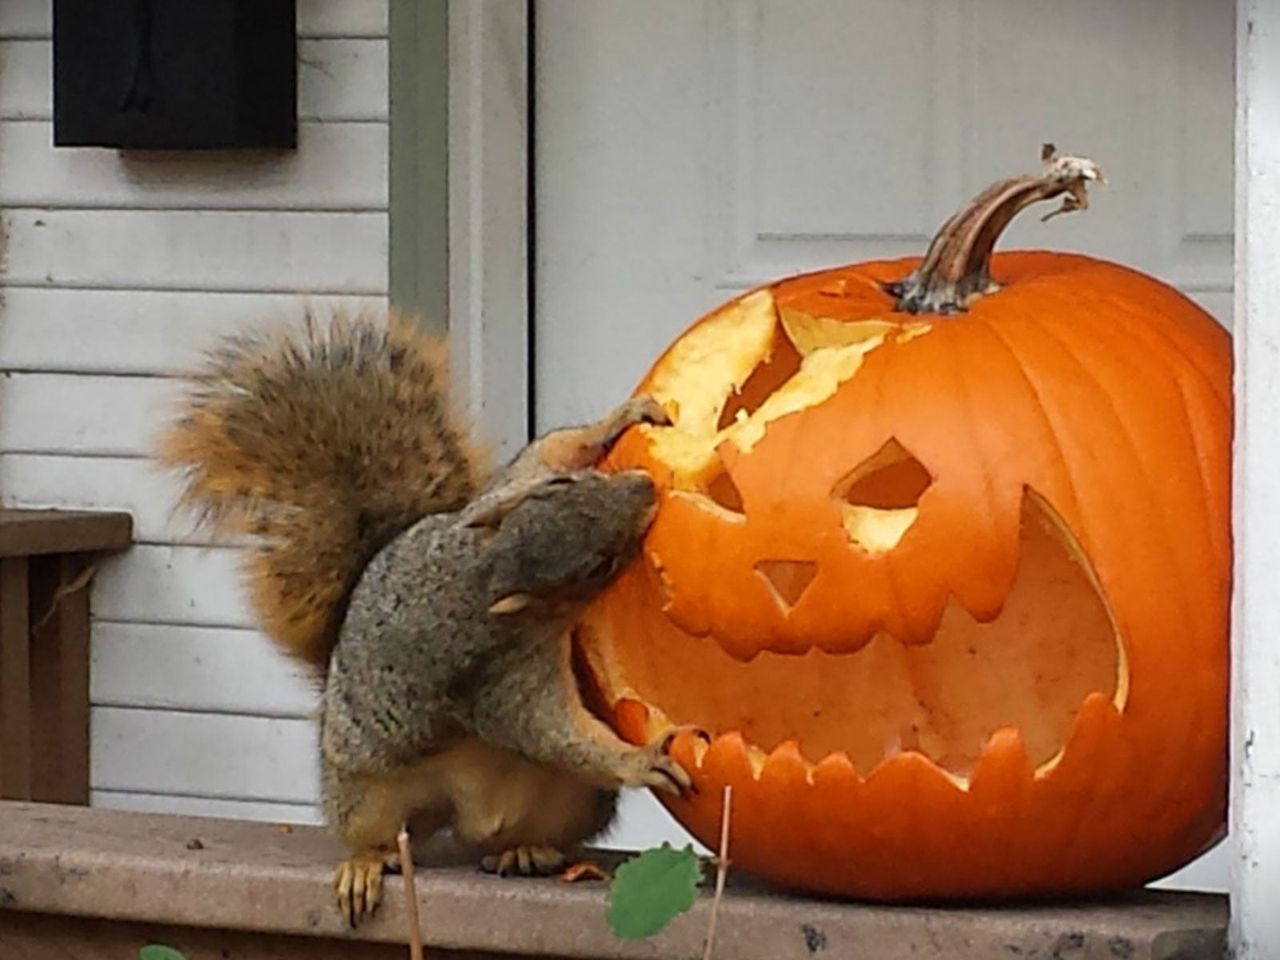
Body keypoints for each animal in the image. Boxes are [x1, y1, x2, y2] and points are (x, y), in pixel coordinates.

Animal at [158, 312, 701, 926]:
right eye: (598, 566)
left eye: (563, 486)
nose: (647, 485)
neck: (481, 574)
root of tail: (468, 817)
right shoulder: (501, 677)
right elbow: (554, 733)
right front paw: (640, 760)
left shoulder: (500, 496)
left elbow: (553, 449)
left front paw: (624, 416)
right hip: (366, 791)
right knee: (379, 834)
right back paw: (366, 864)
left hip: (566, 802)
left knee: (528, 836)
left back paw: (526, 850)